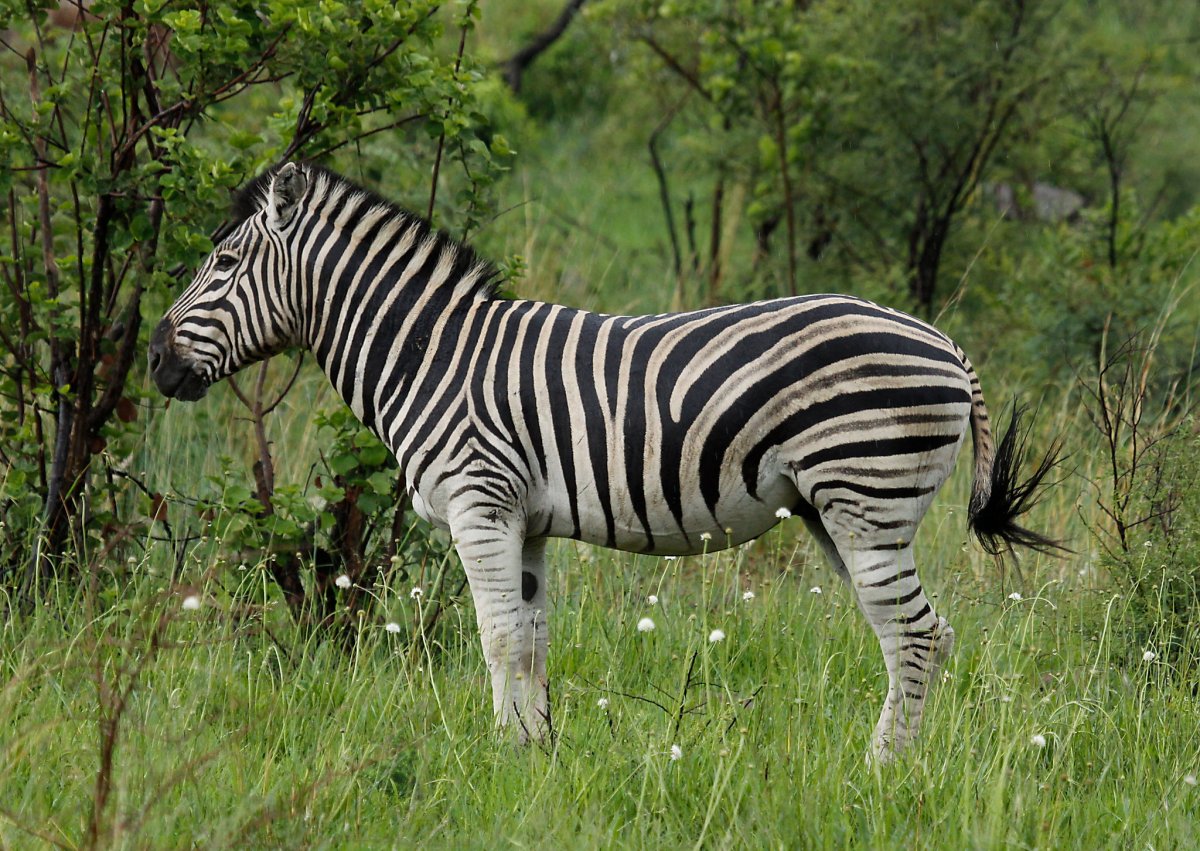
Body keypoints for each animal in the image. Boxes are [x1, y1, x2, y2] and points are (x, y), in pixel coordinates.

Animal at [149, 163, 1059, 762]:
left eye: (221, 265)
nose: (155, 360)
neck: (433, 355)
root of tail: (947, 344)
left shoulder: (480, 504)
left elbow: (497, 638)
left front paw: (502, 759)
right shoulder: (525, 522)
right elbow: (532, 638)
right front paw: (536, 754)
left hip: (867, 500)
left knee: (917, 634)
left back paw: (881, 769)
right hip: (836, 511)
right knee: (923, 633)